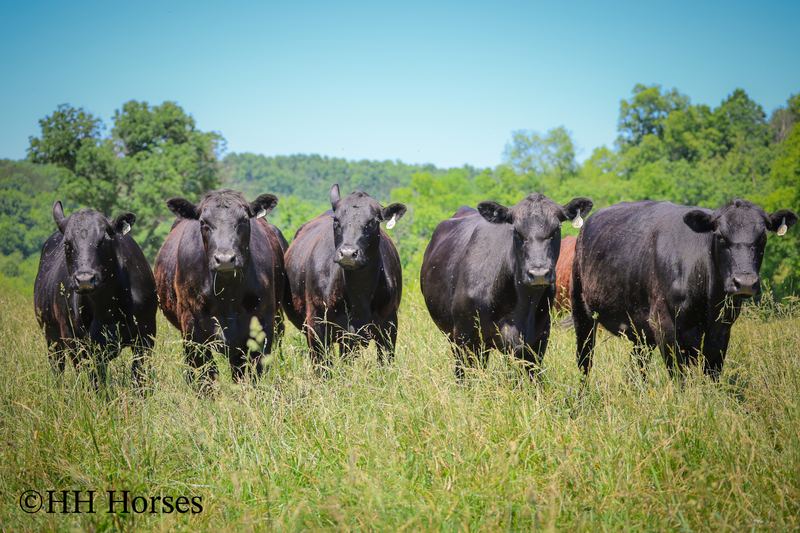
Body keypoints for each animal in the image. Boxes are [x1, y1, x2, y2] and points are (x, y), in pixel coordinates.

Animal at [33, 201, 158, 388]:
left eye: (104, 240)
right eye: (67, 244)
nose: (85, 279)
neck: (107, 307)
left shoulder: (146, 335)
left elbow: (139, 379)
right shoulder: (77, 342)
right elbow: (94, 382)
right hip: (52, 338)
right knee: (58, 368)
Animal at [154, 189, 286, 385]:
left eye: (244, 220)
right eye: (203, 221)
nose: (224, 259)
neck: (228, 294)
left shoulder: (263, 325)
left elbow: (255, 373)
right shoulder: (193, 328)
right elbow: (206, 375)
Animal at [283, 184, 406, 370]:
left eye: (372, 222)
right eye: (336, 220)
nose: (348, 253)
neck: (359, 296)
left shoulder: (389, 325)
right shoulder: (317, 325)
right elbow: (323, 366)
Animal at [571, 199, 798, 380]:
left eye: (763, 237)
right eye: (720, 236)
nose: (745, 282)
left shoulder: (723, 333)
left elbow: (713, 377)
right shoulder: (666, 327)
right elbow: (680, 377)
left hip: (640, 328)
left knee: (637, 367)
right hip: (582, 311)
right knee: (585, 362)